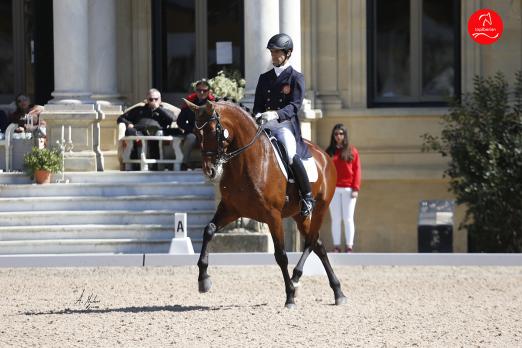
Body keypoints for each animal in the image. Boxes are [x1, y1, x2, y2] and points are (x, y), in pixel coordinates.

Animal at [183, 98, 346, 308]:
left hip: (320, 209)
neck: (246, 163)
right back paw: (336, 291)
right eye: (196, 133)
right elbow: (208, 230)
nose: (209, 171)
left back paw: (297, 281)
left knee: (311, 241)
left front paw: (289, 296)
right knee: (317, 244)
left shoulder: (273, 216)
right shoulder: (230, 210)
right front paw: (203, 280)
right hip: (298, 214)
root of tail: (324, 156)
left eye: (212, 130)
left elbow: (281, 255)